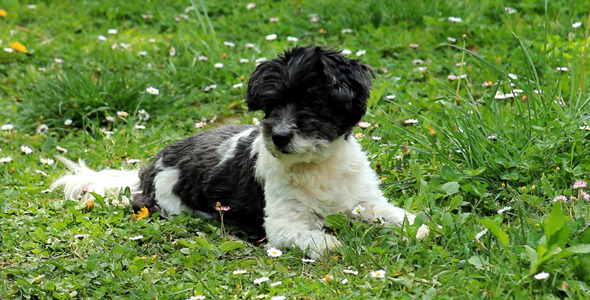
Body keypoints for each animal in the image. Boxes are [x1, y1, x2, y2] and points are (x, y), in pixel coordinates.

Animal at [52, 45, 430, 258]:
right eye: (271, 107)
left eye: (314, 103)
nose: (279, 135)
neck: (316, 165)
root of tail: (145, 173)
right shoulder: (283, 224)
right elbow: (310, 237)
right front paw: (330, 244)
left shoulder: (364, 200)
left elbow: (391, 214)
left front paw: (418, 227)